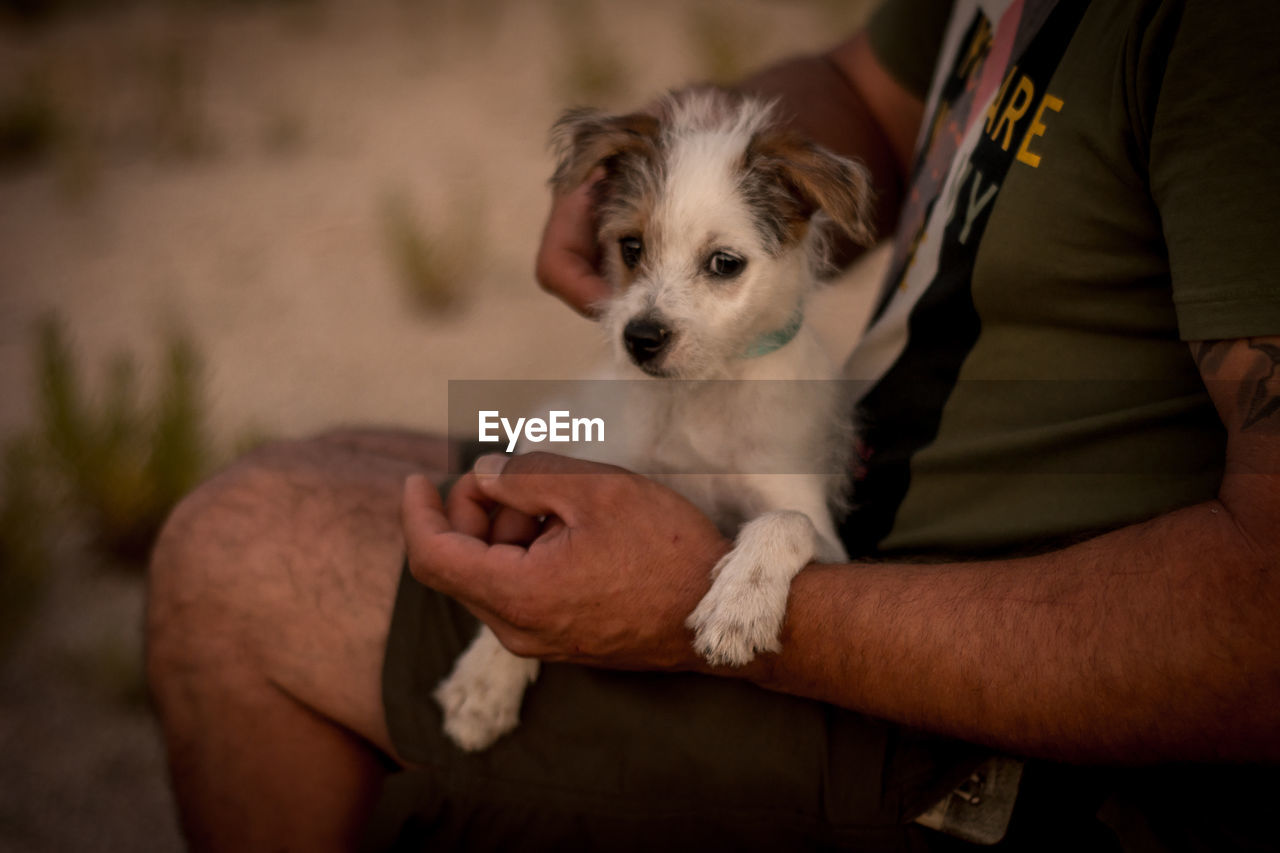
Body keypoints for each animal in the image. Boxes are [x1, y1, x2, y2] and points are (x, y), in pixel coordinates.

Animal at [435, 89, 875, 747]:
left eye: (725, 263)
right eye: (631, 248)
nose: (639, 338)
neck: (699, 392)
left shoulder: (817, 525)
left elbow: (786, 520)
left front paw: (739, 605)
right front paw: (486, 676)